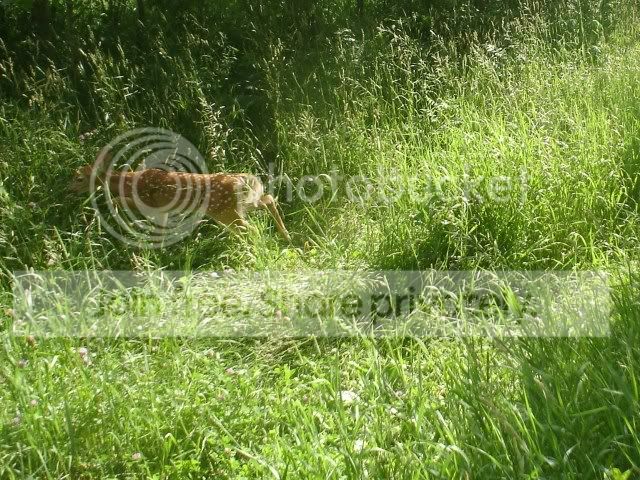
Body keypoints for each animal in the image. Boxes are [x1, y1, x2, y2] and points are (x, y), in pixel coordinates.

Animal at [70, 148, 292, 242]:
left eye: (79, 178)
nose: (69, 190)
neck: (129, 182)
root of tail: (247, 181)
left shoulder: (151, 204)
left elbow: (118, 200)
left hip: (226, 212)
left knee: (251, 227)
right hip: (244, 205)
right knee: (268, 200)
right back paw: (286, 236)